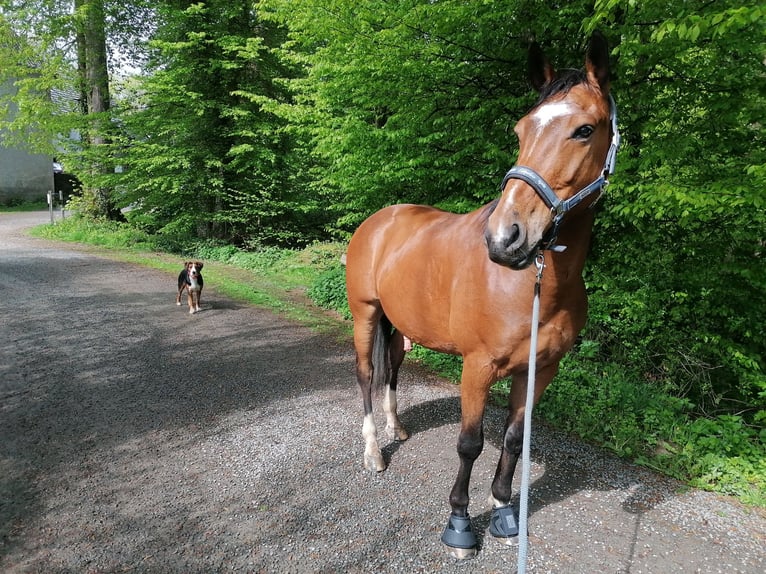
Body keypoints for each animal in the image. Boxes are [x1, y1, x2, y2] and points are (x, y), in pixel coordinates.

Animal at [345, 31, 619, 559]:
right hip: (365, 315)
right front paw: (459, 525)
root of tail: (380, 220)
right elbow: (470, 443)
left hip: (399, 325)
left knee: (392, 371)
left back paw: (397, 429)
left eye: (584, 129)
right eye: (520, 130)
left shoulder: (540, 370)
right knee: (368, 375)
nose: (505, 238)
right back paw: (373, 452)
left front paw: (505, 510)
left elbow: (513, 440)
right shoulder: (477, 367)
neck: (534, 288)